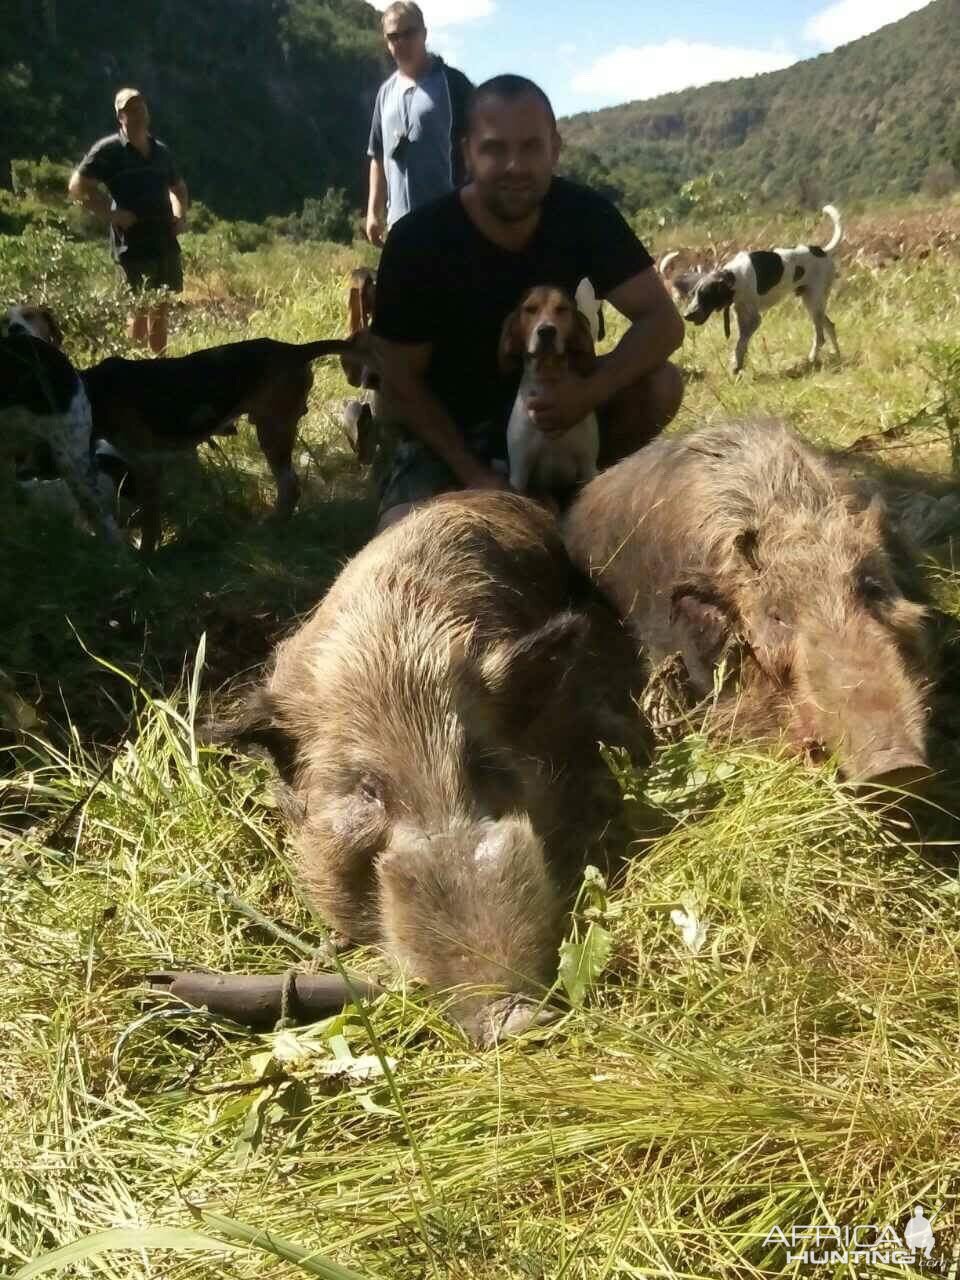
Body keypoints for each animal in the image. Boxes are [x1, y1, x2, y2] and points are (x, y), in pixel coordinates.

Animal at [499, 282, 599, 496]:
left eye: (562, 309)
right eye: (530, 309)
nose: (546, 331)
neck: (548, 376)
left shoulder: (588, 465)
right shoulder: (519, 471)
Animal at [680, 204, 844, 373]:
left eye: (706, 295)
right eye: (692, 294)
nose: (686, 315)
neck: (733, 277)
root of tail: (823, 251)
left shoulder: (754, 320)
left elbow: (740, 344)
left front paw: (735, 366)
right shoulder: (741, 316)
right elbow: (741, 343)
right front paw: (737, 364)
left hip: (813, 302)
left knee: (820, 336)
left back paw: (812, 359)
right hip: (811, 302)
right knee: (830, 326)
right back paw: (836, 355)